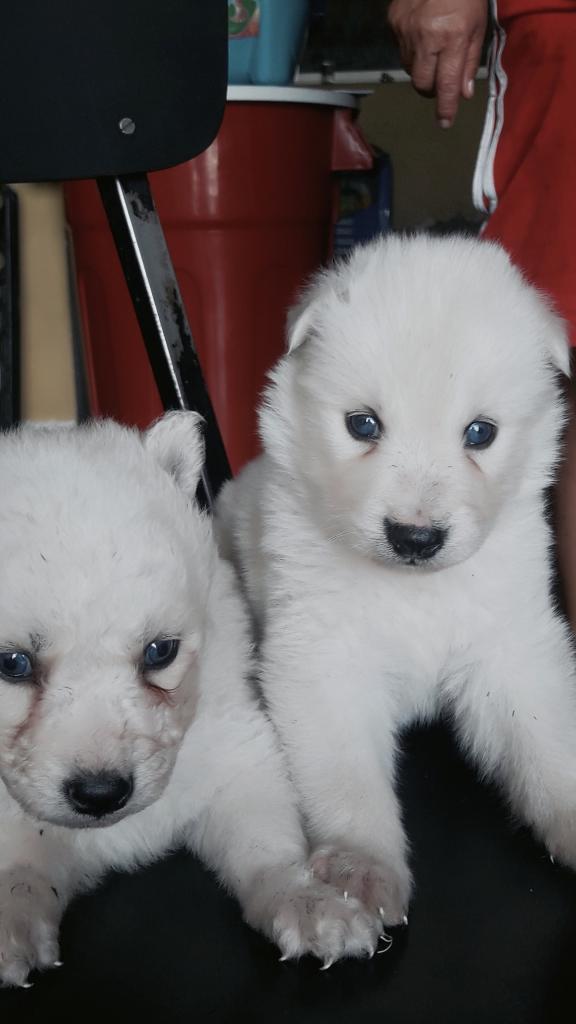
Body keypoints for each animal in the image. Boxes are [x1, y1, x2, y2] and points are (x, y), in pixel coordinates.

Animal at [0, 411, 385, 987]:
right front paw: (11, 929)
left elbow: (267, 846)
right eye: (13, 664)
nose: (101, 794)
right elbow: (18, 871)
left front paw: (305, 901)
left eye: (160, 652)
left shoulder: (236, 756)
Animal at [214, 235, 573, 933]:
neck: (414, 590)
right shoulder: (323, 663)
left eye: (480, 432)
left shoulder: (511, 648)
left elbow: (545, 740)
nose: (415, 537)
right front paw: (360, 870)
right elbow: (348, 779)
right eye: (363, 424)